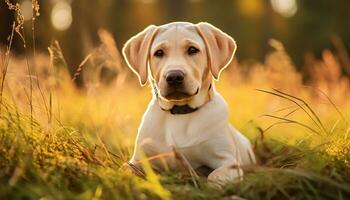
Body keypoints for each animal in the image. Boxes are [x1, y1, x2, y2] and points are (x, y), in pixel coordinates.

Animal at [121, 21, 256, 186]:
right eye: (159, 53)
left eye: (192, 50)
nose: (174, 76)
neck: (181, 111)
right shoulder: (138, 161)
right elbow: (125, 169)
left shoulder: (228, 161)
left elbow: (214, 176)